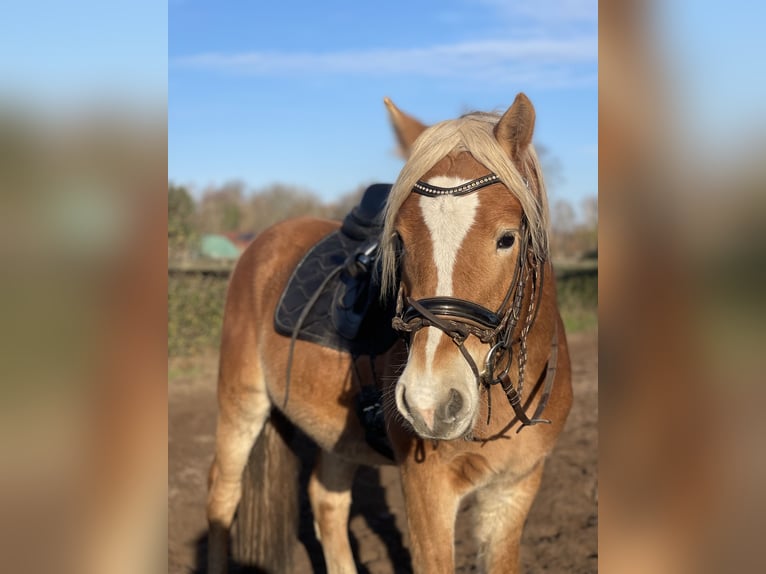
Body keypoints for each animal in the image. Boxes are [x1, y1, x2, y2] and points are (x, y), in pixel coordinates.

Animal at [207, 92, 572, 572]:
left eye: (507, 238)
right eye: (397, 240)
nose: (429, 402)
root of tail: (261, 244)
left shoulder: (515, 489)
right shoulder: (427, 488)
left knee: (325, 501)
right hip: (240, 403)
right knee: (221, 498)